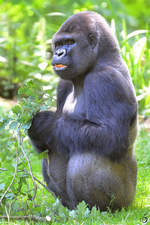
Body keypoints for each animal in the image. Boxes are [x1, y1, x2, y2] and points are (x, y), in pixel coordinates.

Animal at [27, 10, 137, 211]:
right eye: (58, 44)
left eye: (70, 42)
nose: (58, 53)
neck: (102, 58)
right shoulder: (62, 84)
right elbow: (45, 143)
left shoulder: (105, 80)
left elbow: (111, 135)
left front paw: (45, 124)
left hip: (126, 200)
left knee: (87, 156)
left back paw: (98, 209)